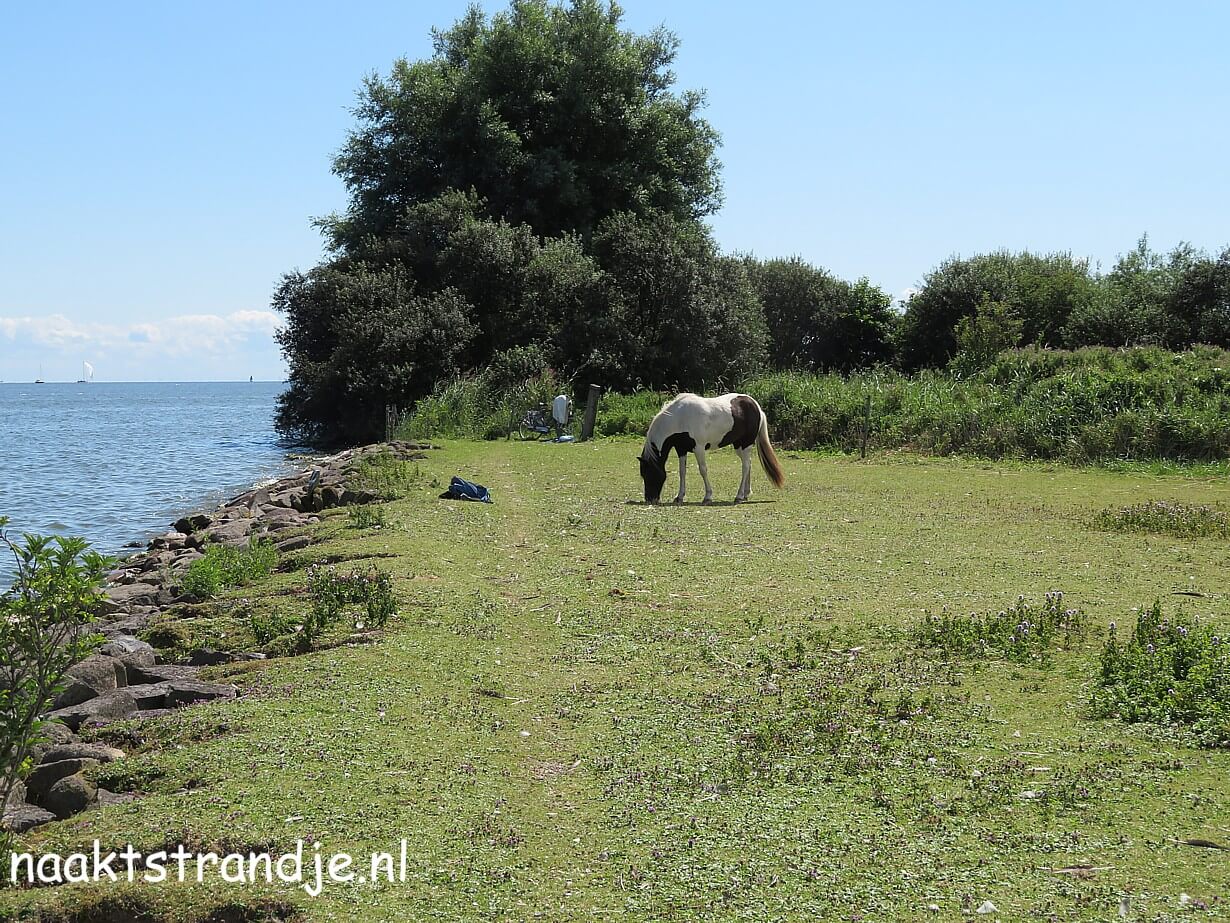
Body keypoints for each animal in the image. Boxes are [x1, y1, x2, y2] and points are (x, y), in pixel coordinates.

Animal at [639, 391, 782, 507]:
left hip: (745, 444)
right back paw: (746, 493)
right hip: (739, 445)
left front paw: (707, 497)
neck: (680, 418)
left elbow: (703, 470)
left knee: (745, 466)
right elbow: (682, 471)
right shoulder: (681, 449)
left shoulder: (699, 448)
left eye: (649, 473)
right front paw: (679, 497)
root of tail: (757, 407)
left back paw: (739, 496)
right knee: (749, 464)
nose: (650, 499)